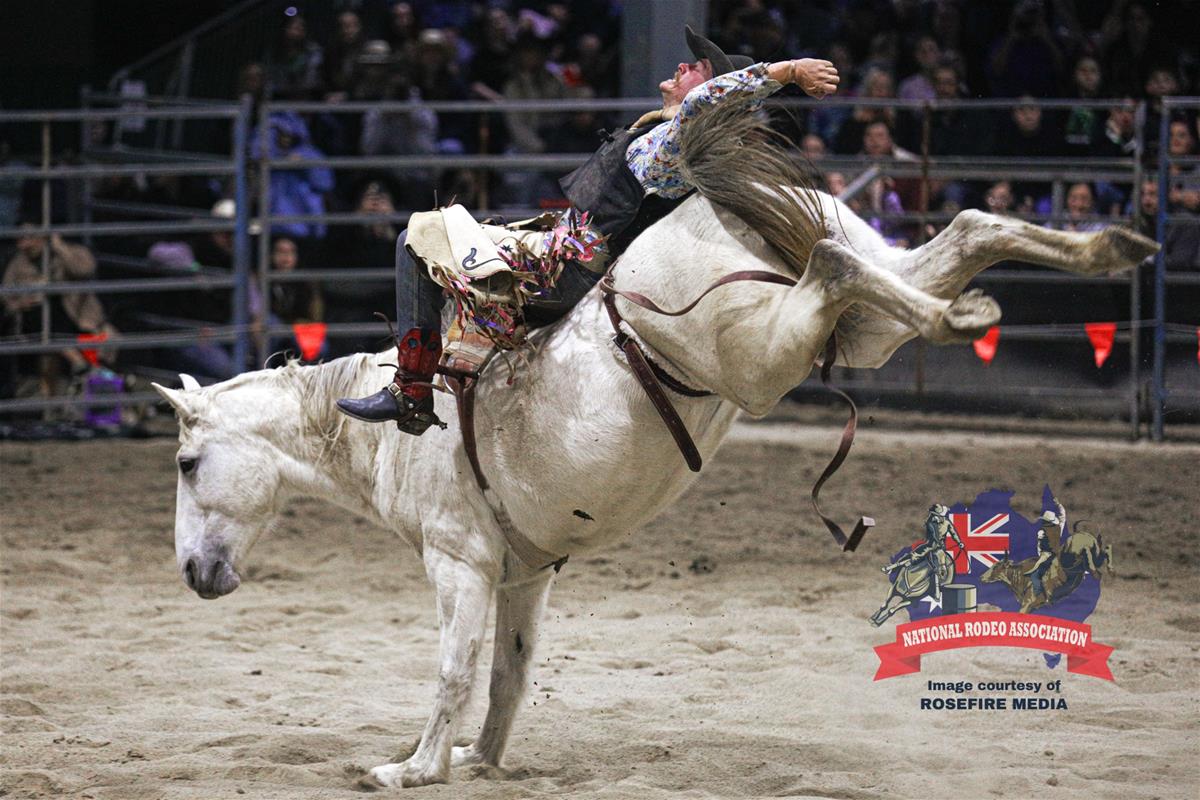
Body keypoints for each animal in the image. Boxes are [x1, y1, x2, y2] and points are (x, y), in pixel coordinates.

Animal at [153, 105, 1157, 787]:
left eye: (187, 464)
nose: (194, 574)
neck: (391, 428)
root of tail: (704, 204)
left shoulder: (459, 560)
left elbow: (453, 667)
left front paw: (413, 766)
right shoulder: (523, 572)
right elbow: (509, 673)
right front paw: (480, 758)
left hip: (764, 352)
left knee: (840, 269)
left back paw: (974, 312)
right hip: (858, 322)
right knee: (955, 236)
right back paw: (1095, 252)